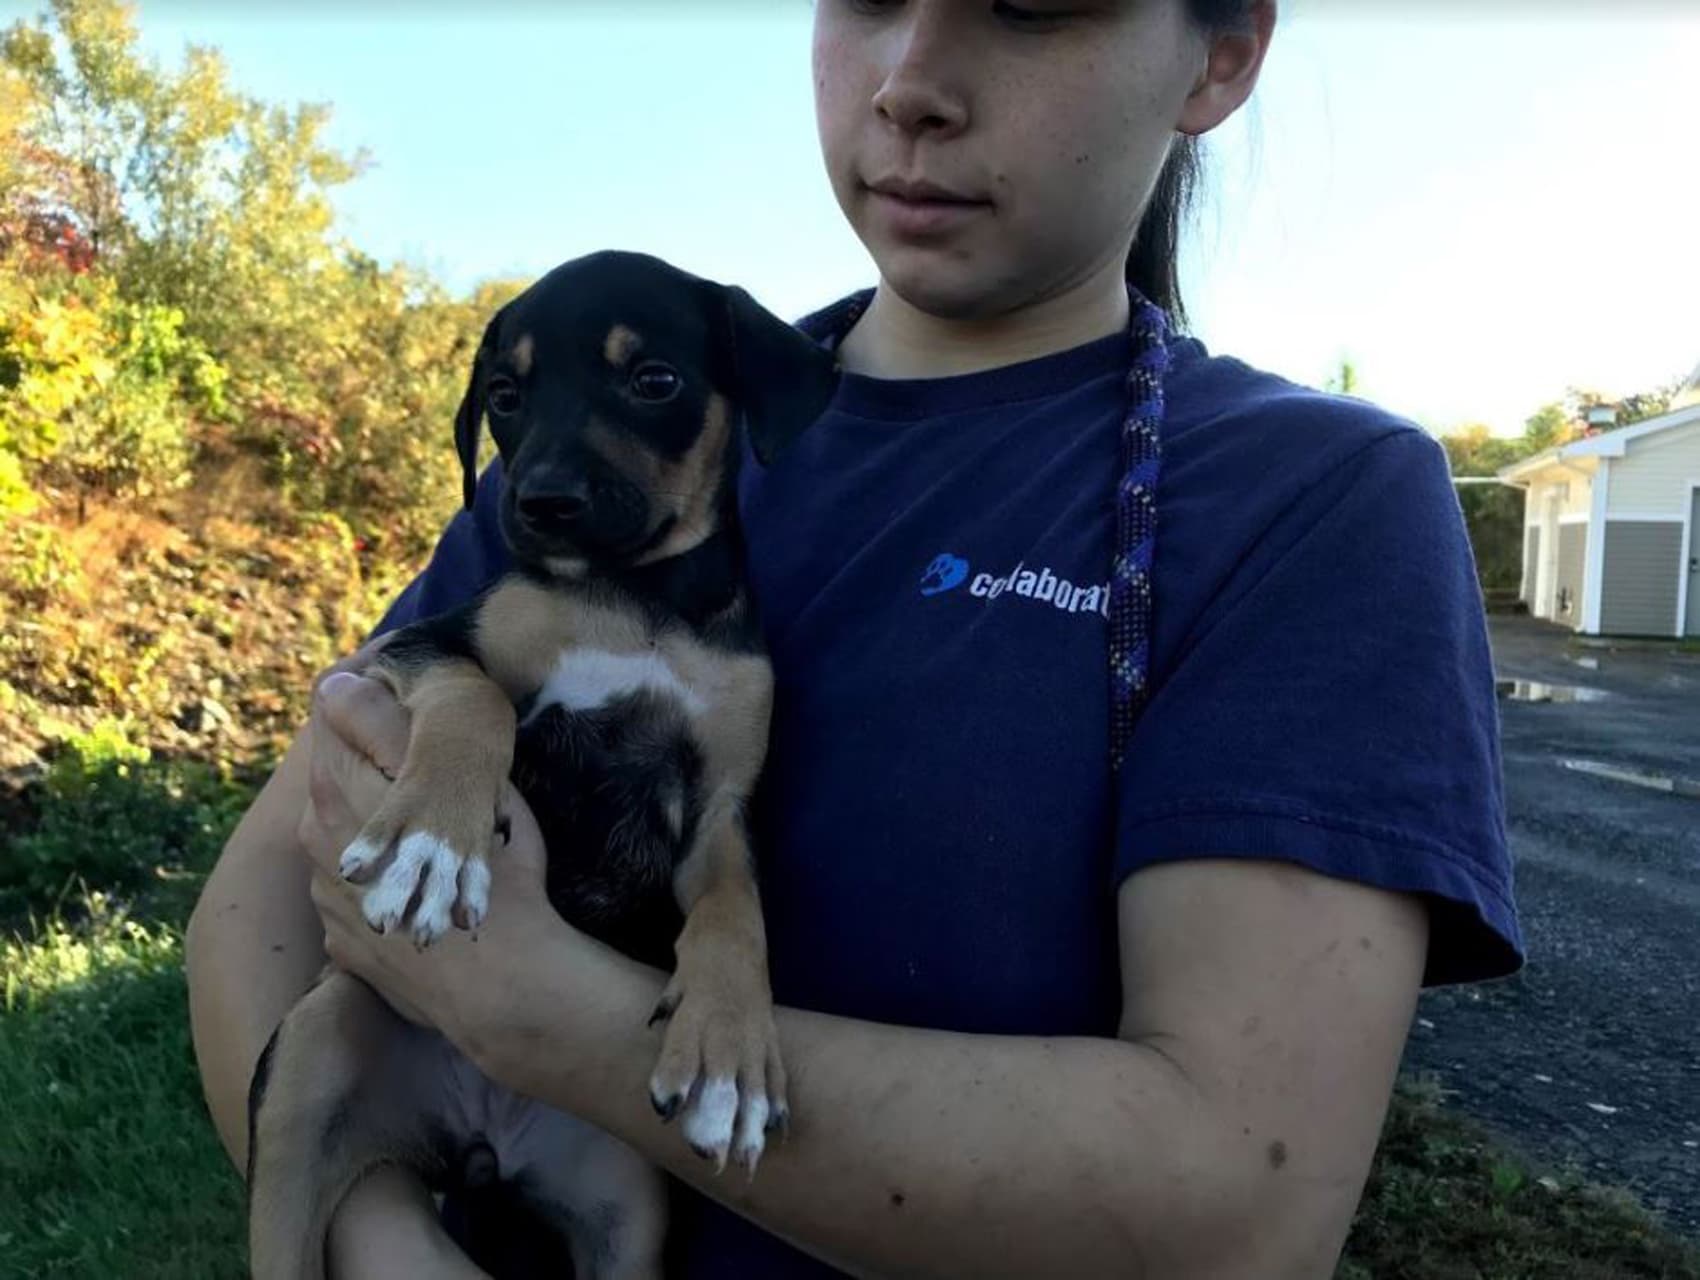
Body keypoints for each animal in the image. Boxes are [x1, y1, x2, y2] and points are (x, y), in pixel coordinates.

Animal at [244, 251, 836, 1278]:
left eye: (654, 380)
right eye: (506, 397)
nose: (540, 505)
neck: (633, 597)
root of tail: (486, 1131)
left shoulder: (718, 802)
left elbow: (735, 909)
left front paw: (730, 1053)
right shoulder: (424, 646)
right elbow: (475, 701)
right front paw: (434, 843)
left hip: (626, 1216)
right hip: (310, 1067)